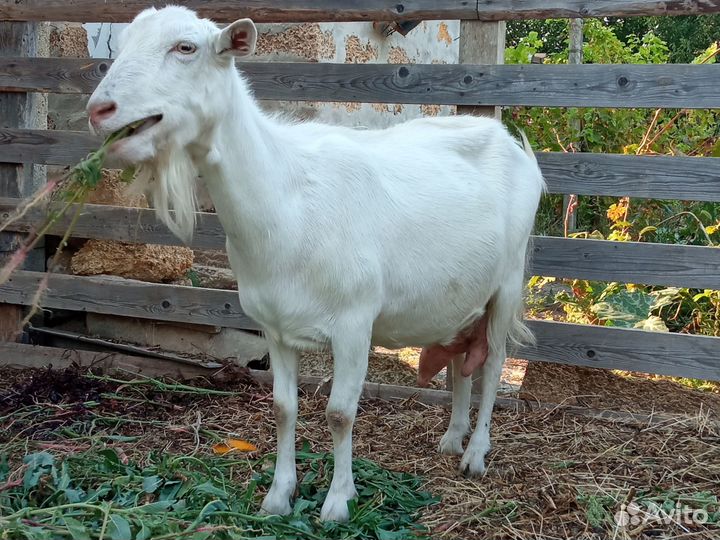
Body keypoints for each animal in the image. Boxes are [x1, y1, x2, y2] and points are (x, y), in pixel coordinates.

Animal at [86, 6, 545, 522]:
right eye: (122, 42)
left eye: (186, 47)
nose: (99, 111)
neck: (287, 199)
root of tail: (516, 146)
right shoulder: (275, 326)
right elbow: (284, 407)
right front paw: (278, 495)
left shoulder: (354, 324)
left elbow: (339, 413)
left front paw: (337, 501)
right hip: (463, 295)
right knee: (463, 363)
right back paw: (452, 438)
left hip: (507, 282)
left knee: (495, 362)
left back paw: (476, 454)